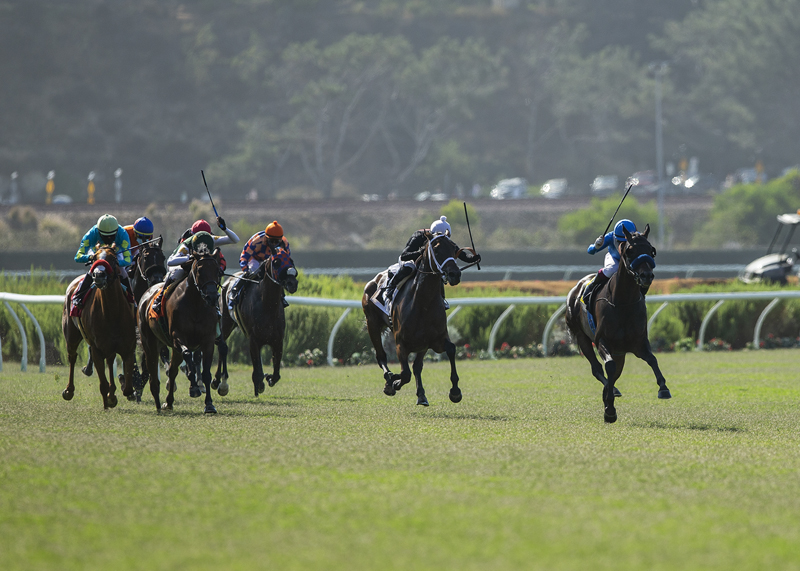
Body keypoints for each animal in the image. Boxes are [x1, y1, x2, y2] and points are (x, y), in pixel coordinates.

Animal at [61, 244, 138, 408]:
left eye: (113, 259)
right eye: (94, 258)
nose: (98, 275)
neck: (112, 314)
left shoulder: (128, 348)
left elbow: (128, 388)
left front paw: (116, 393)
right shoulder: (96, 349)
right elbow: (103, 383)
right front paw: (108, 401)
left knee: (109, 361)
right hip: (71, 336)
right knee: (72, 357)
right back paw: (69, 390)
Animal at [136, 248, 220, 414]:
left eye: (217, 270)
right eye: (199, 270)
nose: (212, 297)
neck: (196, 305)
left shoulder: (208, 340)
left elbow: (206, 373)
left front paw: (209, 404)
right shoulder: (177, 337)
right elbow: (187, 354)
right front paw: (194, 386)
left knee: (173, 370)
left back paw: (168, 402)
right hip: (150, 343)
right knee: (153, 371)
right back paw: (158, 403)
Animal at [214, 250, 298, 398]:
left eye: (291, 260)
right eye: (276, 262)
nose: (292, 283)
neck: (267, 305)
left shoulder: (277, 340)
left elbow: (276, 373)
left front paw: (268, 378)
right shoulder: (253, 340)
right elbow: (257, 371)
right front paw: (259, 384)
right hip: (225, 324)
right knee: (221, 347)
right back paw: (218, 381)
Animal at [360, 235, 466, 408]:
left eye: (455, 249)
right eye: (436, 250)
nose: (454, 274)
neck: (423, 303)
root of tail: (375, 280)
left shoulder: (435, 340)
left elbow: (450, 349)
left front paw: (455, 391)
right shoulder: (400, 343)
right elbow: (405, 373)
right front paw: (393, 381)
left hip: (421, 344)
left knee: (417, 366)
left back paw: (421, 395)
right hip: (372, 323)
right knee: (381, 356)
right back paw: (389, 380)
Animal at [564, 225, 672, 424]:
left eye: (651, 250)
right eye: (630, 250)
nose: (646, 276)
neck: (623, 302)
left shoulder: (638, 342)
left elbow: (652, 359)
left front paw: (663, 388)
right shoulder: (602, 340)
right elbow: (609, 367)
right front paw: (610, 409)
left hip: (619, 351)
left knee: (614, 372)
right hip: (582, 337)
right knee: (598, 368)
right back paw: (610, 392)